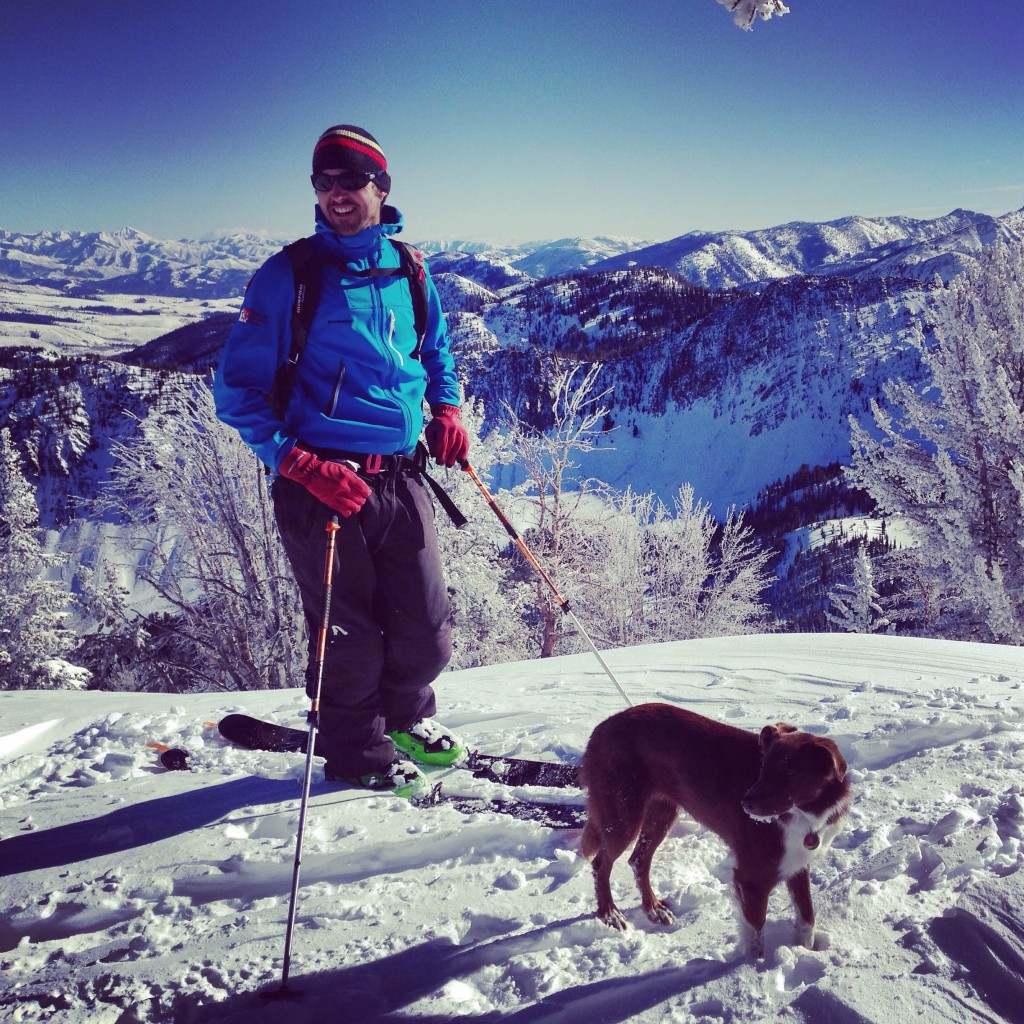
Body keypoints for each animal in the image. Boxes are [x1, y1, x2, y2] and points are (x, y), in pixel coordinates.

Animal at [581, 700, 851, 954]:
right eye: (764, 767)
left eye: (791, 772)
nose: (745, 803)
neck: (802, 813)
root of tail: (601, 727)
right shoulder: (750, 879)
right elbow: (756, 938)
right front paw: (750, 968)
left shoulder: (797, 863)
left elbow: (807, 920)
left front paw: (805, 950)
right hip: (623, 817)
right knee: (601, 863)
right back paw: (609, 913)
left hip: (661, 813)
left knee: (639, 860)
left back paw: (653, 909)